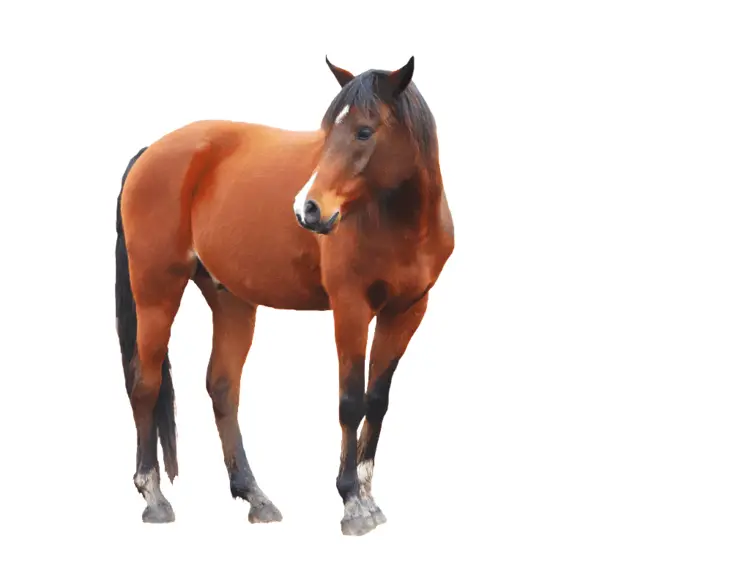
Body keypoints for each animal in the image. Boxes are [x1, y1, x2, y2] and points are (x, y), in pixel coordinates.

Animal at [115, 55, 455, 536]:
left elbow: (377, 400)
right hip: (156, 290)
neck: (395, 220)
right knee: (145, 383)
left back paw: (254, 496)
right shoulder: (350, 309)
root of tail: (150, 152)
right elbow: (350, 401)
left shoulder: (407, 312)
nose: (307, 209)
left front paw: (368, 493)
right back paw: (154, 497)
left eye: (364, 131)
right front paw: (352, 501)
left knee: (222, 387)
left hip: (230, 299)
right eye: (328, 130)